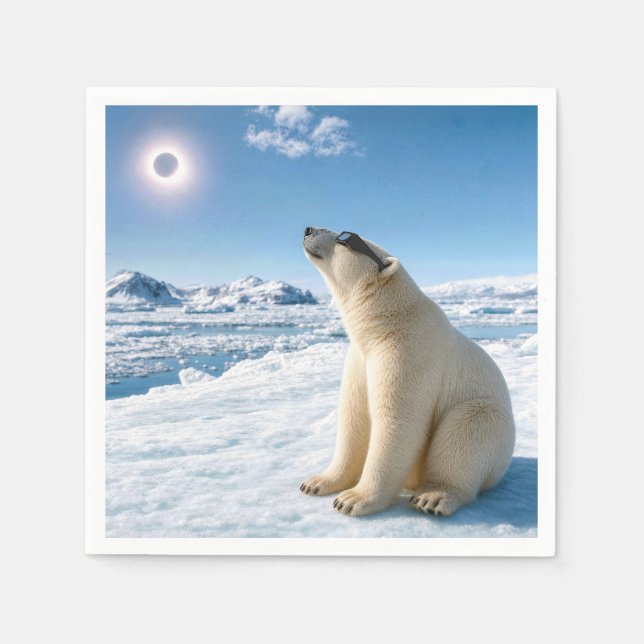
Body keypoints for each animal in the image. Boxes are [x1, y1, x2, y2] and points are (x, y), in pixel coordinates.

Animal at [300, 227, 515, 517]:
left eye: (343, 240)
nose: (308, 229)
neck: (385, 324)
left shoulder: (408, 352)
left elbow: (398, 420)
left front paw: (353, 499)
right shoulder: (360, 357)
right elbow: (353, 415)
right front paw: (316, 482)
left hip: (486, 418)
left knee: (467, 428)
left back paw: (433, 497)